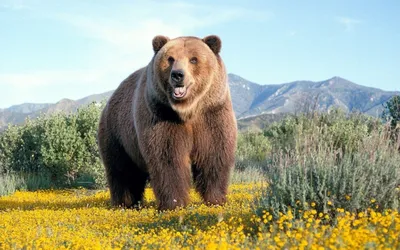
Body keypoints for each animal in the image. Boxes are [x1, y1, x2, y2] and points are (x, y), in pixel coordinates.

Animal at [97, 34, 238, 211]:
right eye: (170, 58)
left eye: (193, 59)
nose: (178, 75)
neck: (188, 110)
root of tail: (111, 98)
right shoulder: (162, 116)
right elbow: (168, 158)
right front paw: (174, 203)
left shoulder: (212, 114)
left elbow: (213, 154)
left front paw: (216, 199)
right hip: (118, 134)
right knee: (122, 170)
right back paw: (124, 203)